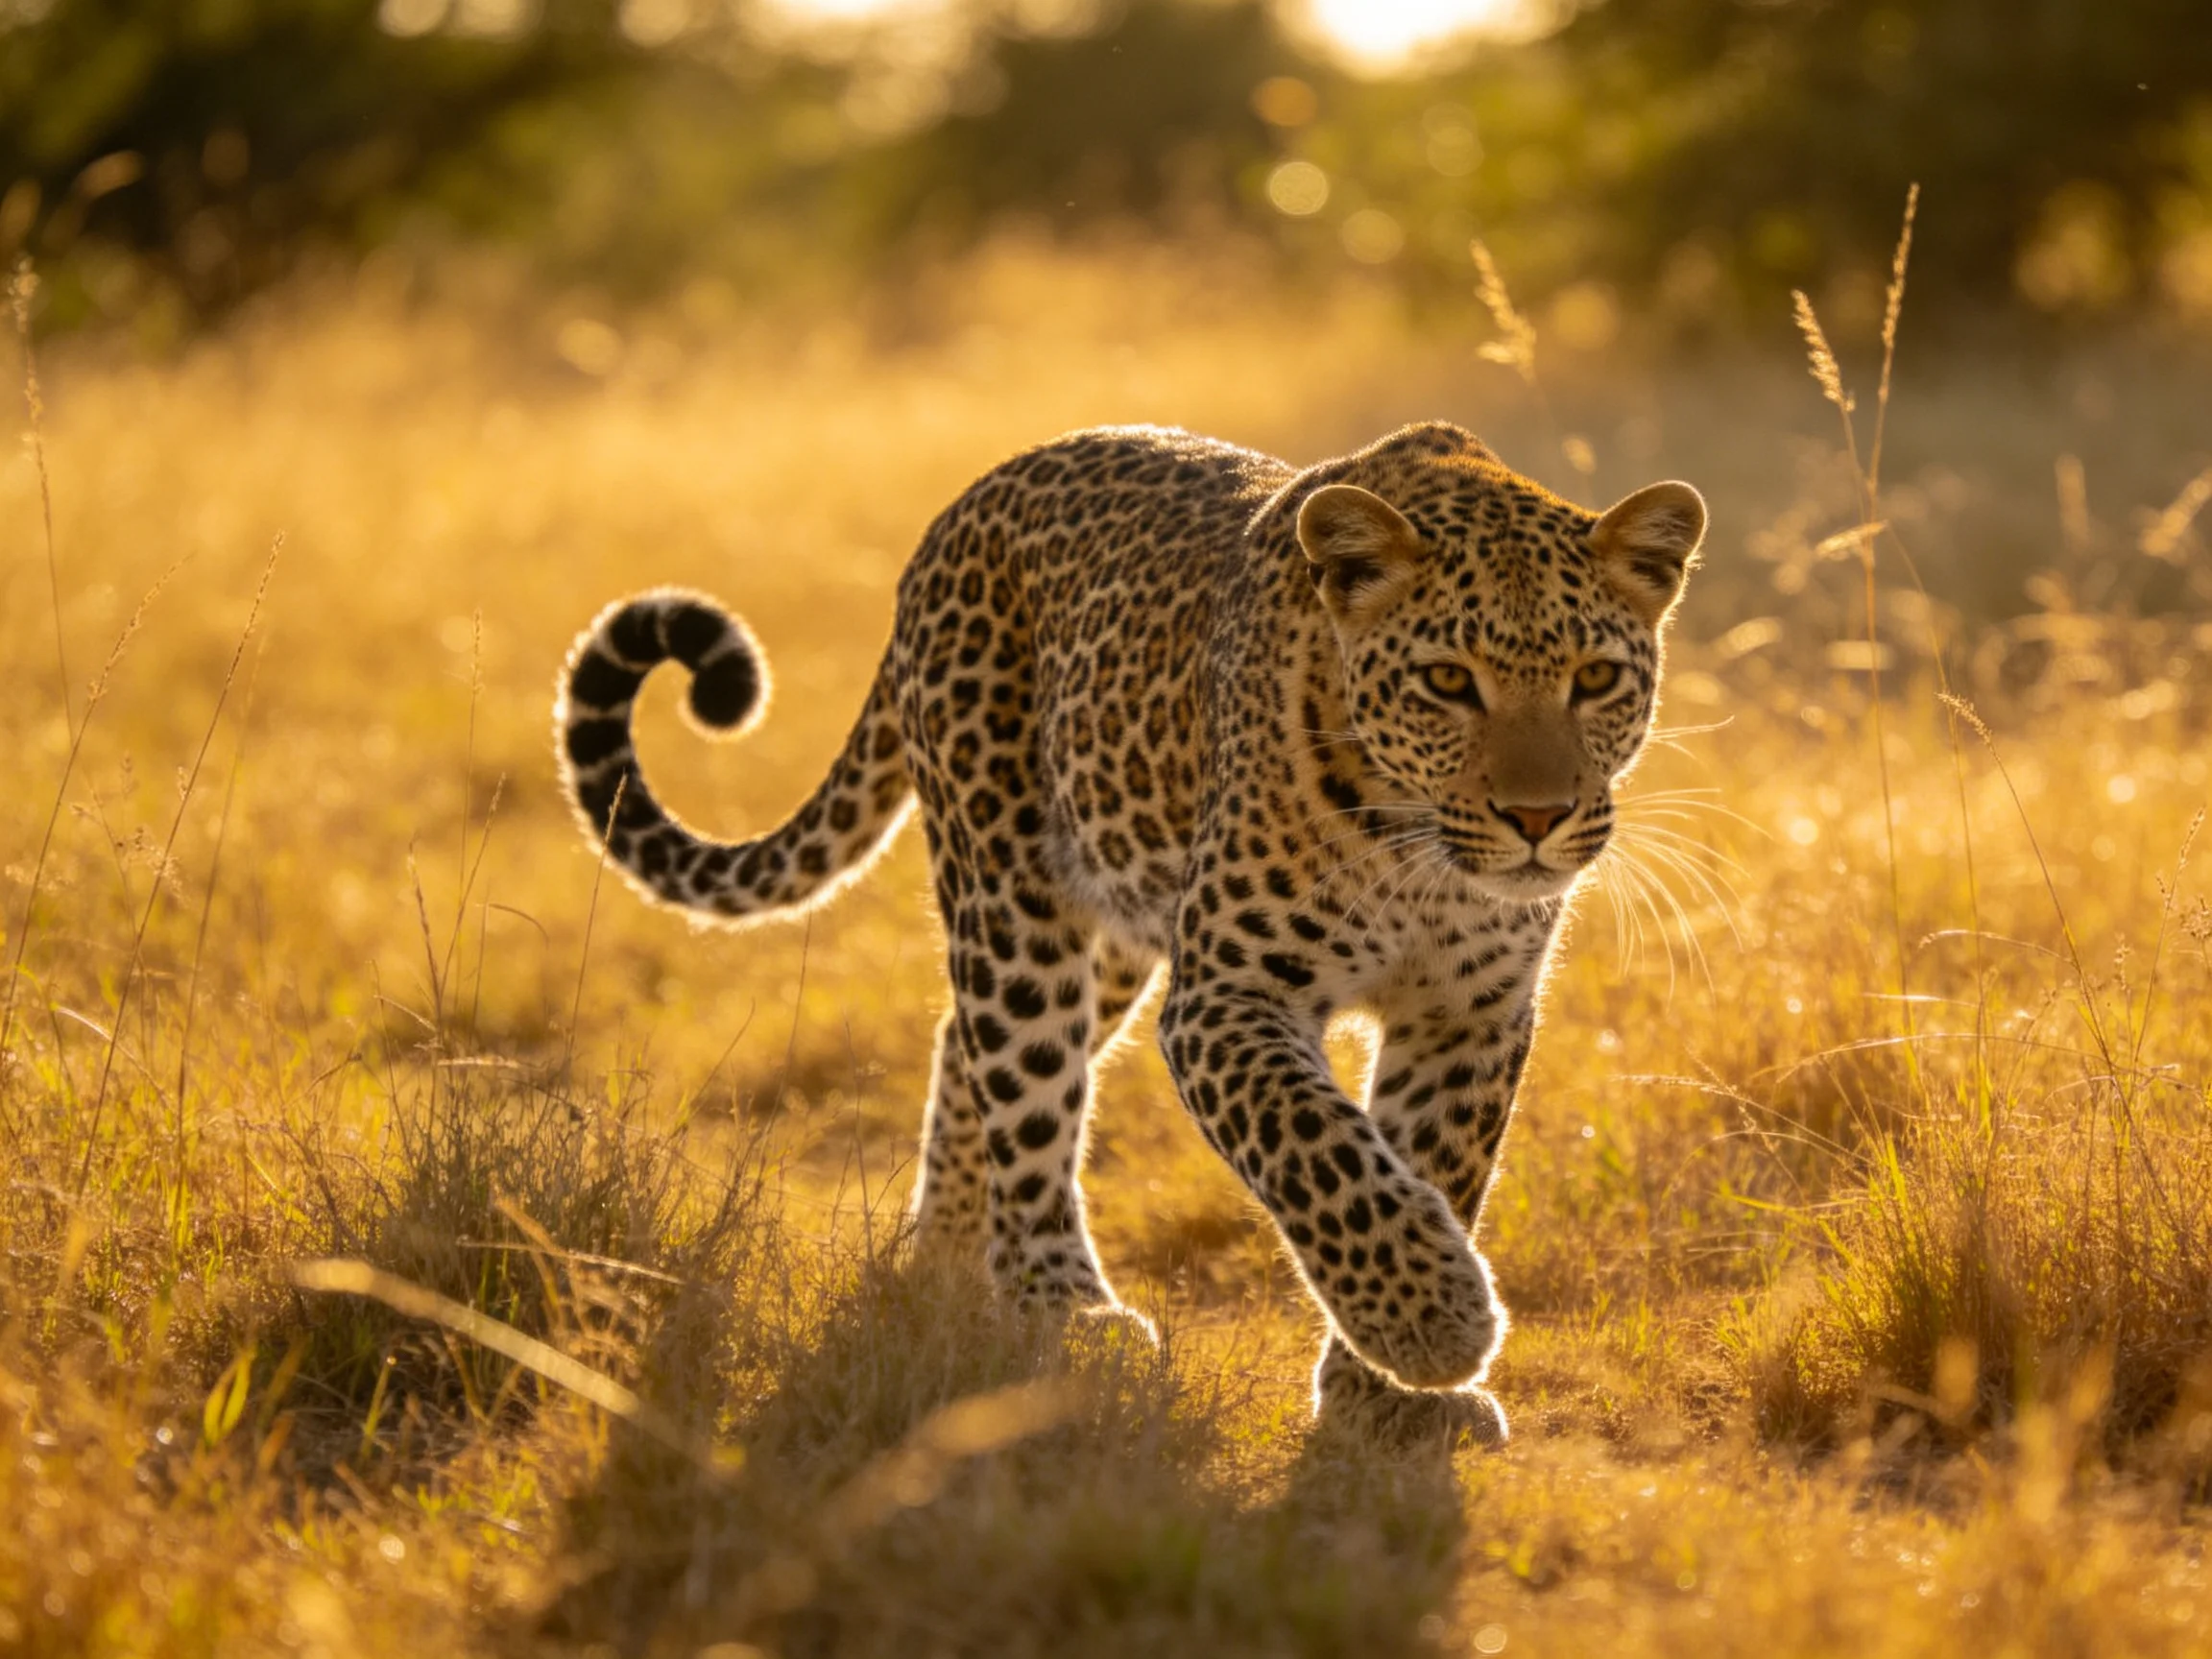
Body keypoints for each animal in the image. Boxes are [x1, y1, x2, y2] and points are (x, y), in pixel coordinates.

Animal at [554, 419, 1705, 1439]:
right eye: (1448, 682)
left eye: (1596, 679)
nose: (1537, 818)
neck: (1420, 861)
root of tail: (957, 512)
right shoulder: (1228, 997)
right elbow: (1326, 1153)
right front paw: (1435, 1323)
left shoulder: (1472, 1012)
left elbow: (1432, 1162)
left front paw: (1384, 1391)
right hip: (1014, 899)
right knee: (1025, 1090)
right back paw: (1059, 1301)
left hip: (1106, 930)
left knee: (963, 1046)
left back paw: (943, 1261)